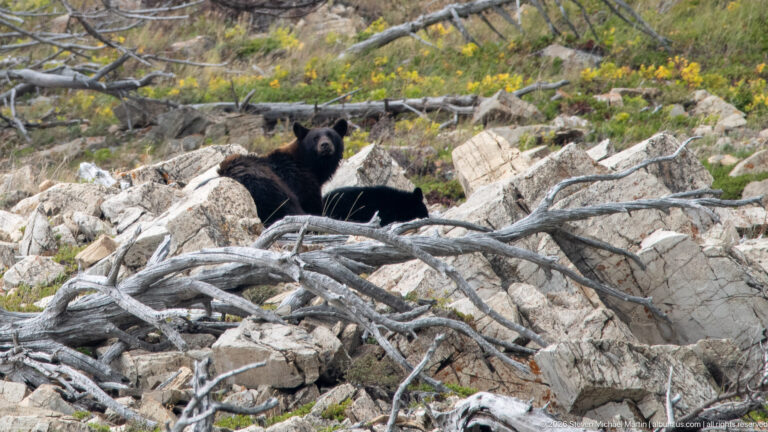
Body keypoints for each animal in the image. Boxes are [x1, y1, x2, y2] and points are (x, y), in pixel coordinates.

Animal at [218, 119, 347, 226]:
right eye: (315, 138)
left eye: (331, 135)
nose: (325, 145)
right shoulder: (298, 180)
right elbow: (311, 204)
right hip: (269, 186)